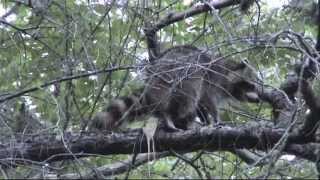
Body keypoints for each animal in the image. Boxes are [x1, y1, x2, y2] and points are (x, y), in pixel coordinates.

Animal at [89, 45, 260, 132]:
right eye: (251, 85)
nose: (258, 99)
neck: (227, 71)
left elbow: (201, 105)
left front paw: (206, 120)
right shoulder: (211, 81)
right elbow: (207, 100)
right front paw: (216, 119)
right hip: (180, 73)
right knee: (190, 92)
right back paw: (173, 118)